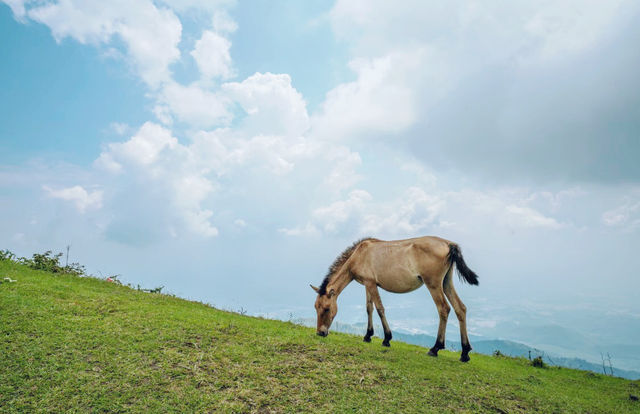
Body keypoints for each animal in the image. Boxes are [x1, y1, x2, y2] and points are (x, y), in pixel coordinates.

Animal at [310, 236, 480, 362]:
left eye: (326, 308)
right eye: (316, 307)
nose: (320, 332)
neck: (359, 254)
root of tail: (448, 244)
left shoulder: (371, 284)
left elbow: (379, 309)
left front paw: (386, 339)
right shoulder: (368, 284)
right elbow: (369, 308)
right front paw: (368, 335)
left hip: (433, 284)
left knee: (444, 309)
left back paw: (435, 348)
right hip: (446, 283)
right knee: (460, 308)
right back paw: (465, 353)